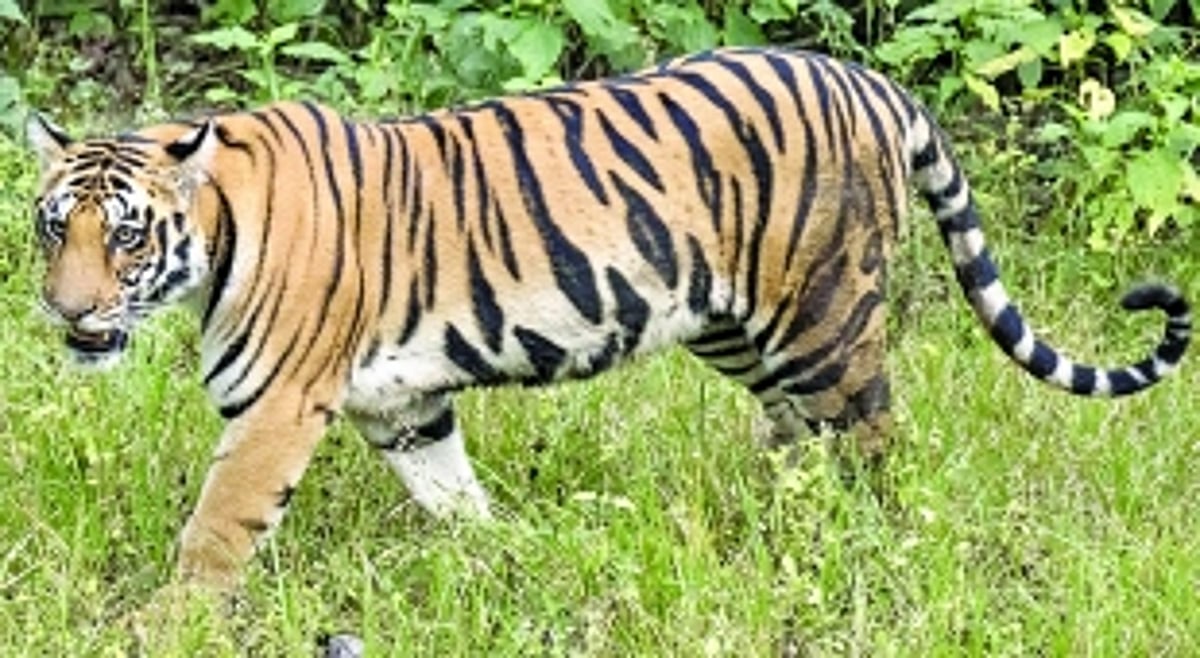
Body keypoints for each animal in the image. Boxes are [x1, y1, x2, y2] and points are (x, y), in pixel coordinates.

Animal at [26, 47, 1191, 590]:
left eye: (123, 237)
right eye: (51, 229)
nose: (66, 310)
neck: (214, 234)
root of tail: (870, 80)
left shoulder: (276, 408)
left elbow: (216, 529)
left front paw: (171, 623)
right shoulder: (403, 405)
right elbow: (452, 494)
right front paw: (502, 558)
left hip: (824, 319)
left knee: (873, 443)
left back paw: (870, 545)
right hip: (739, 328)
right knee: (796, 436)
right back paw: (771, 520)